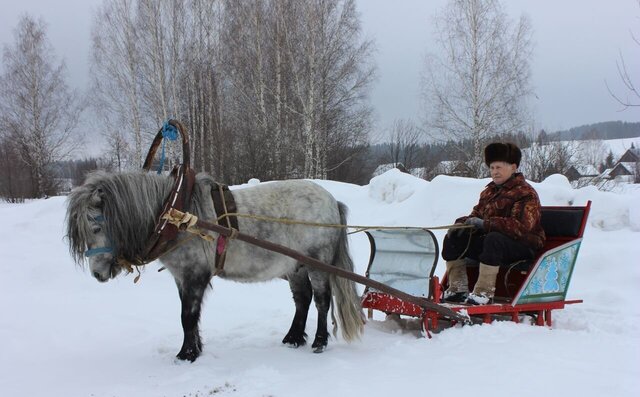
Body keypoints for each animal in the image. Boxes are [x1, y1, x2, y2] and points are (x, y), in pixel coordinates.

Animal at [66, 169, 364, 360]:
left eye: (96, 227)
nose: (97, 274)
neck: (177, 217)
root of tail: (331, 201)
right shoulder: (182, 278)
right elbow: (191, 317)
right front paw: (195, 348)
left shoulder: (194, 275)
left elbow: (187, 316)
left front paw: (186, 355)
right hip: (295, 267)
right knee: (303, 299)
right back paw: (293, 338)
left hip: (317, 263)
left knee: (322, 300)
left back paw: (319, 342)